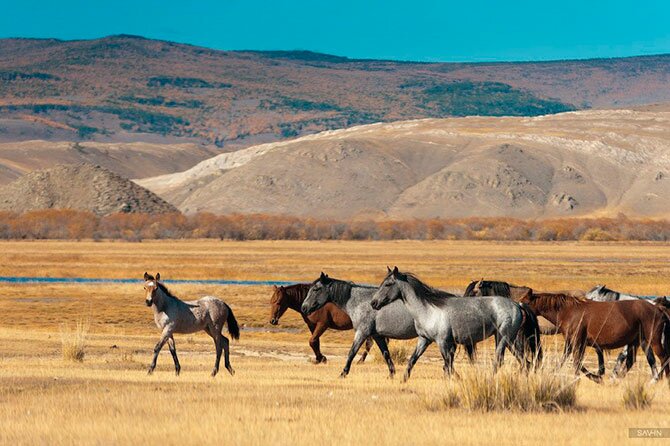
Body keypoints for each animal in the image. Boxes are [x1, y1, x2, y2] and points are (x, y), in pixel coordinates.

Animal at [304, 272, 456, 376]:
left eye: (316, 289)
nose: (304, 307)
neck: (359, 301)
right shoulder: (377, 336)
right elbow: (386, 354)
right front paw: (392, 374)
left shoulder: (362, 332)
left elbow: (352, 352)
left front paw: (343, 373)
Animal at [370, 266, 528, 382]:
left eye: (388, 284)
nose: (373, 303)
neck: (428, 310)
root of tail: (517, 305)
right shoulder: (424, 340)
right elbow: (413, 360)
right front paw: (403, 380)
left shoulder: (443, 342)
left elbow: (448, 365)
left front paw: (457, 379)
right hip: (509, 340)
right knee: (524, 360)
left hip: (502, 338)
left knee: (499, 361)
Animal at [524, 290, 670, 382]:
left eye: (525, 301)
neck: (569, 312)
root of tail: (658, 309)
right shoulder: (573, 343)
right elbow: (567, 360)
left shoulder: (577, 341)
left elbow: (576, 362)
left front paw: (589, 378)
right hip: (638, 341)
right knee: (633, 361)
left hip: (653, 340)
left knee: (663, 358)